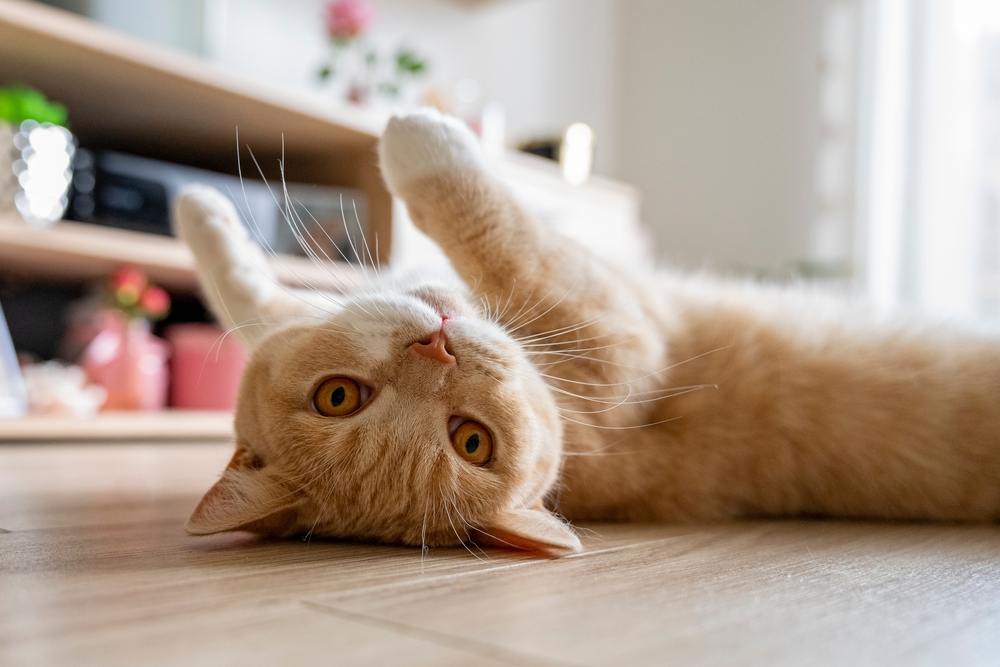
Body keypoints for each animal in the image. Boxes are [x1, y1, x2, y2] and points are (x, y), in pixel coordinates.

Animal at [174, 111, 1000, 560]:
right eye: (472, 441)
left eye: (337, 396)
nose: (437, 346)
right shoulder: (624, 332)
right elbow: (504, 232)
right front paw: (422, 138)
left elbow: (249, 298)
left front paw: (200, 213)